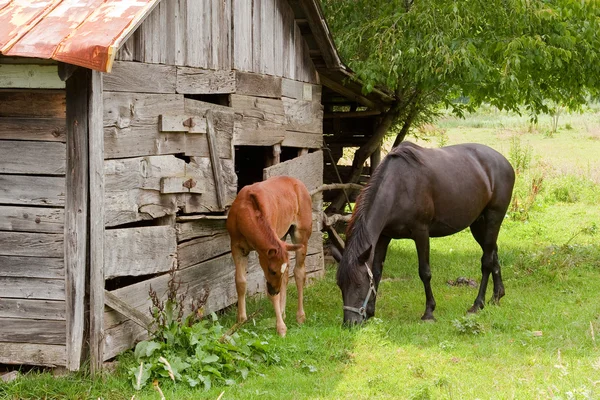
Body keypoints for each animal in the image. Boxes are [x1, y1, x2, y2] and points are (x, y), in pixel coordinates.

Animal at [338, 142, 516, 324]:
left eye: (359, 284)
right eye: (340, 285)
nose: (350, 323)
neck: (399, 186)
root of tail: (504, 162)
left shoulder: (421, 232)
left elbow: (424, 272)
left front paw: (429, 312)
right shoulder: (384, 236)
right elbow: (377, 272)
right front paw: (371, 311)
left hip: (493, 218)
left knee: (486, 261)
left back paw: (477, 304)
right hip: (478, 225)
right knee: (493, 253)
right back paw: (496, 296)